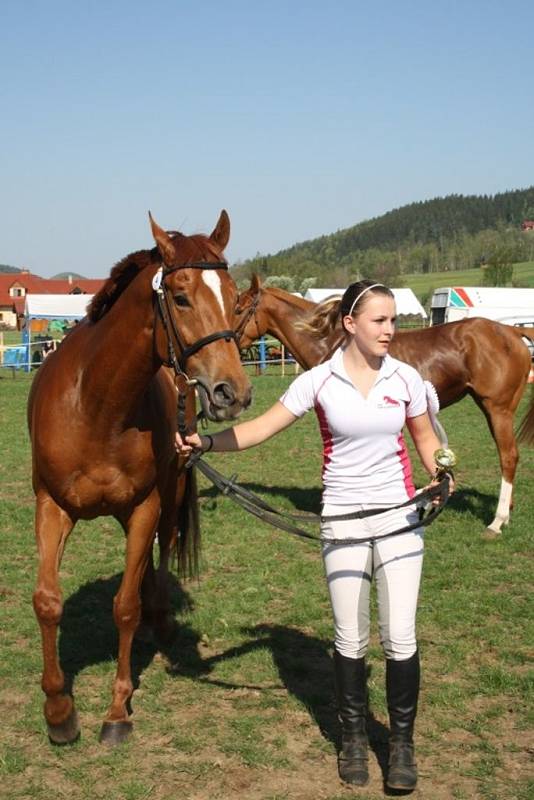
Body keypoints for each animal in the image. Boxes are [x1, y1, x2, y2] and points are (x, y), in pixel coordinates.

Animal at [29, 211, 253, 744]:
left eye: (235, 297)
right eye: (181, 297)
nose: (232, 392)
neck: (96, 406)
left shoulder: (145, 505)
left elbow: (124, 607)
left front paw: (116, 711)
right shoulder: (51, 505)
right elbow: (48, 601)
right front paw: (58, 710)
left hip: (168, 495)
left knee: (164, 546)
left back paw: (161, 614)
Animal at [237, 276, 534, 536]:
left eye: (238, 308)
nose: (230, 340)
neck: (332, 343)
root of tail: (511, 330)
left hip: (498, 409)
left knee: (508, 456)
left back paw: (497, 521)